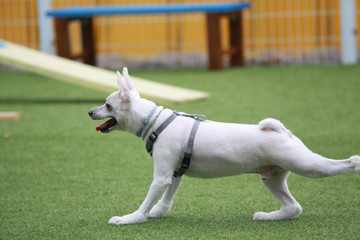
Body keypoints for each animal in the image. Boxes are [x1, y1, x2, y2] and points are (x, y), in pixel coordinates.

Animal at [88, 67, 360, 225]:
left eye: (108, 105)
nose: (90, 112)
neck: (155, 121)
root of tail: (284, 132)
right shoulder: (174, 174)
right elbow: (165, 199)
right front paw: (158, 212)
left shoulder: (162, 176)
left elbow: (146, 202)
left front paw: (132, 218)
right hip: (272, 178)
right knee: (293, 208)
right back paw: (267, 216)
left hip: (306, 165)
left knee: (341, 164)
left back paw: (355, 163)